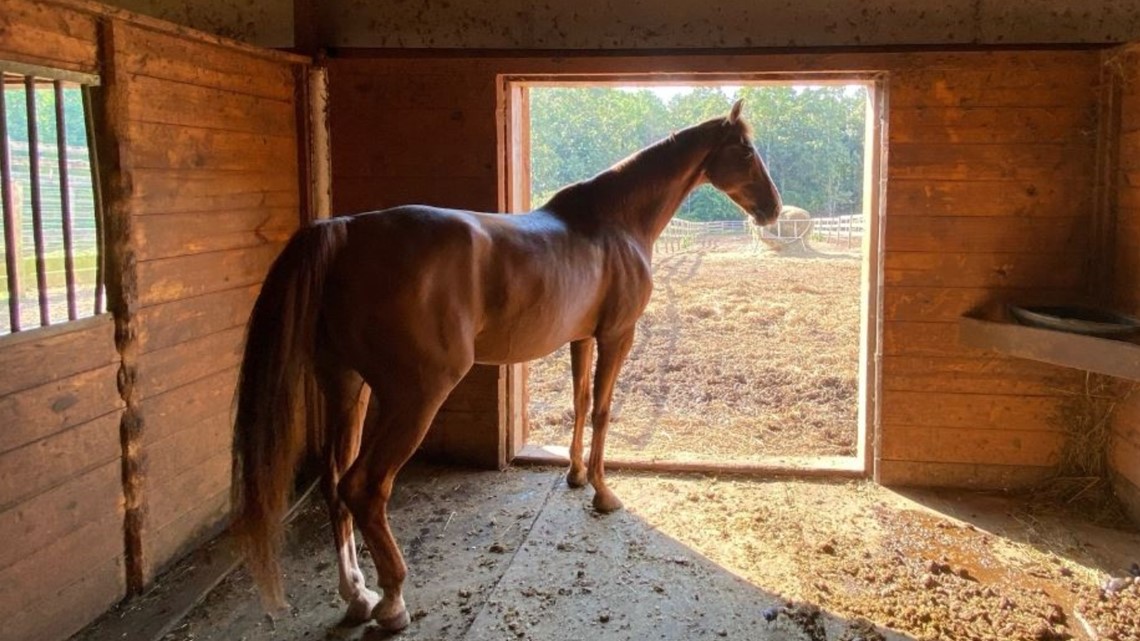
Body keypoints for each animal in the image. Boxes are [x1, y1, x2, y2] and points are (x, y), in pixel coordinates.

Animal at [230, 99, 782, 632]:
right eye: (746, 151)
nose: (773, 209)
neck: (615, 223)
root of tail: (347, 232)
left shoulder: (581, 338)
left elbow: (580, 401)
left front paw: (575, 475)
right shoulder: (616, 336)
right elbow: (603, 410)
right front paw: (603, 492)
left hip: (347, 386)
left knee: (333, 482)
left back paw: (357, 595)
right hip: (413, 398)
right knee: (363, 487)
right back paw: (392, 602)